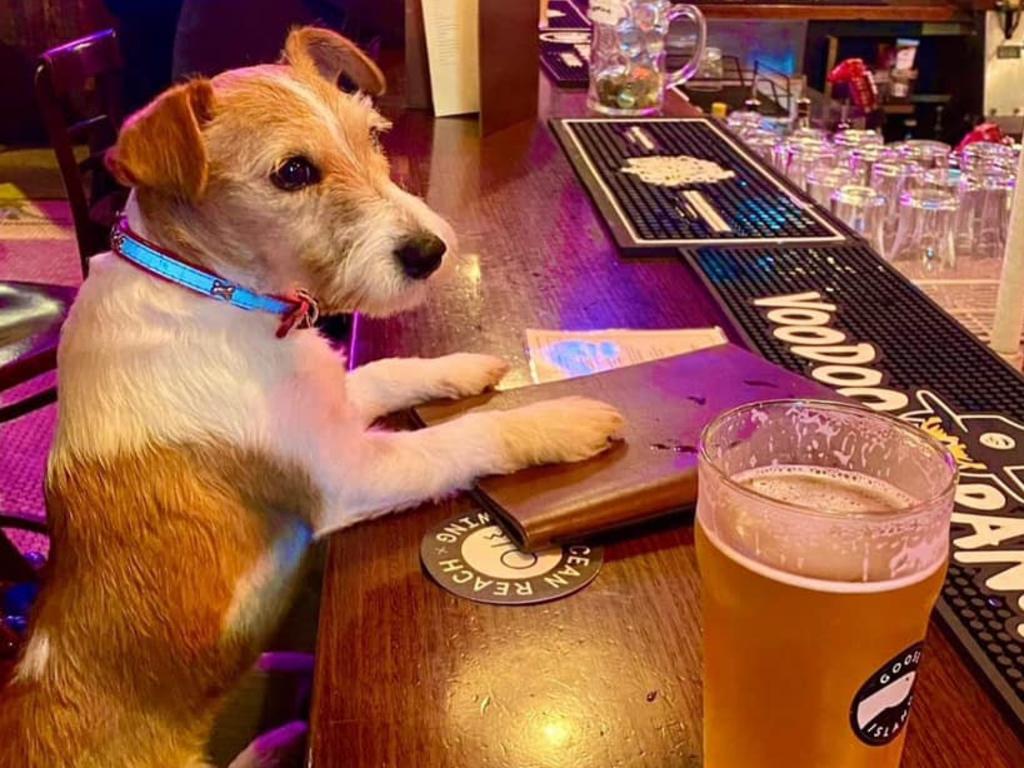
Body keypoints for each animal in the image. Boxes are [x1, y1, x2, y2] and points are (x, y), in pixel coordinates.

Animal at [2, 27, 622, 765]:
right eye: (293, 173)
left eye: (372, 136)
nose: (431, 251)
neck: (207, 288)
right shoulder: (349, 474)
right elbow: (465, 438)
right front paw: (560, 420)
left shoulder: (332, 402)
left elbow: (390, 372)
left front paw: (463, 366)